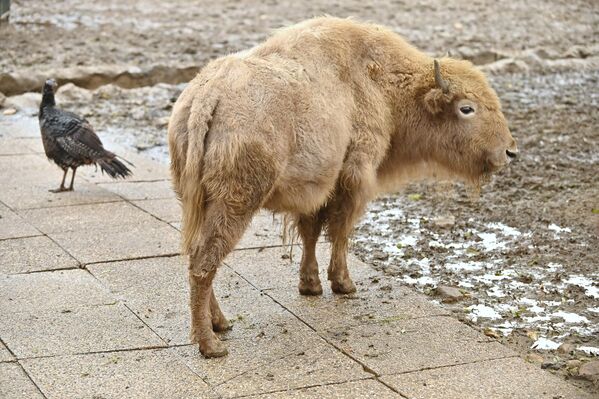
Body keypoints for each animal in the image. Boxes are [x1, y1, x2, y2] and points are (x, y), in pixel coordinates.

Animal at [169, 16, 520, 360]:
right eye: (466, 108)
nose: (509, 152)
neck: (379, 82)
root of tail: (208, 95)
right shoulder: (353, 178)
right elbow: (340, 232)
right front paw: (343, 283)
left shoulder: (318, 188)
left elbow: (311, 232)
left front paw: (310, 285)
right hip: (236, 201)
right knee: (204, 262)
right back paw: (211, 345)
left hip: (198, 200)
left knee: (199, 257)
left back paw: (220, 323)